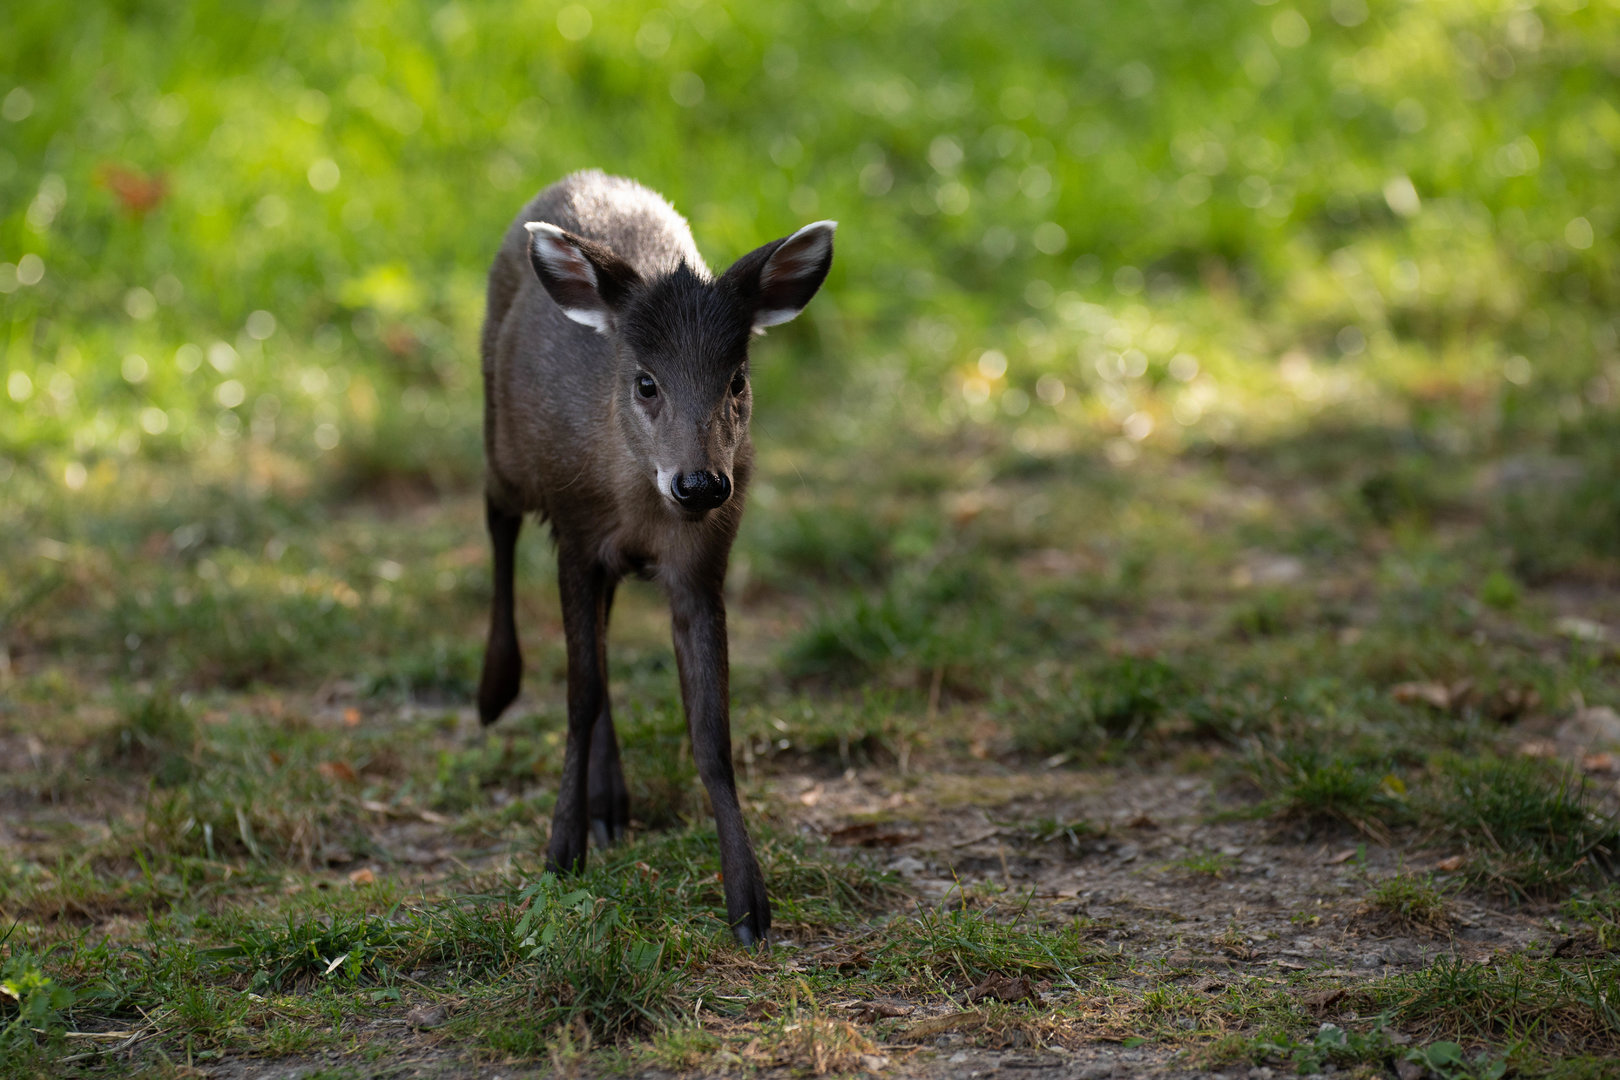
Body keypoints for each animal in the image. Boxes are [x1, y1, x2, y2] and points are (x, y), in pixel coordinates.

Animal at [475, 170, 835, 947]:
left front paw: (748, 904)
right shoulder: (576, 534)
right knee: (495, 515)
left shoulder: (702, 565)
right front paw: (560, 854)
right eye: (646, 382)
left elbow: (711, 729)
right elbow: (578, 696)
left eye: (736, 380)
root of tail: (580, 178)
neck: (639, 503)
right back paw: (494, 690)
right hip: (503, 441)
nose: (700, 483)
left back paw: (612, 803)